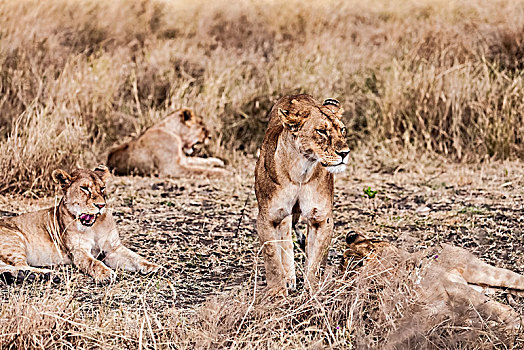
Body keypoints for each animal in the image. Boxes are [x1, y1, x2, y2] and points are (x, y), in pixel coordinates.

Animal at [0, 165, 161, 284]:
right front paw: (106, 274)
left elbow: (135, 257)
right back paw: (48, 274)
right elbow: (93, 263)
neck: (94, 226)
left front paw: (154, 266)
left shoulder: (113, 249)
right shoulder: (79, 252)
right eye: (84, 188)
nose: (101, 205)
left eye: (102, 188)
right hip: (14, 240)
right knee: (20, 265)